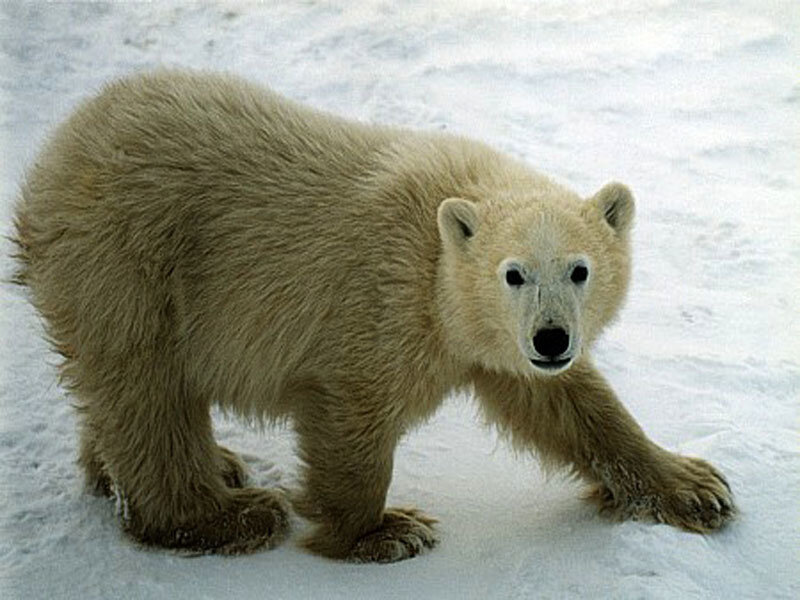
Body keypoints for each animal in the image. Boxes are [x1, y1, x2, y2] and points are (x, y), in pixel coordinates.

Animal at [12, 69, 735, 562]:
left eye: (580, 270)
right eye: (514, 273)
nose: (553, 337)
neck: (440, 235)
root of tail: (53, 157)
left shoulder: (487, 335)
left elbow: (566, 404)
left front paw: (695, 486)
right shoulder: (383, 298)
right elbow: (351, 412)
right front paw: (386, 531)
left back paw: (178, 468)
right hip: (133, 264)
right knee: (148, 391)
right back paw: (229, 512)